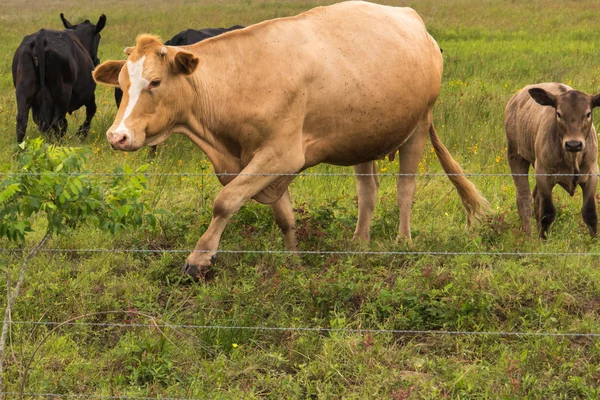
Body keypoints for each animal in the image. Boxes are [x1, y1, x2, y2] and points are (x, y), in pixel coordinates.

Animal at [11, 13, 106, 142]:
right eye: (99, 36)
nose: (97, 61)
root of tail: (40, 37)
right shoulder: (89, 94)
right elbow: (91, 110)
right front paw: (81, 134)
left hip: (24, 88)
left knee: (22, 121)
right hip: (62, 91)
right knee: (58, 122)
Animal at [506, 81, 600, 238]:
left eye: (588, 114)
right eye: (559, 114)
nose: (573, 144)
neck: (572, 157)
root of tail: (515, 98)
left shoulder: (592, 173)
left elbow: (590, 212)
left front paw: (593, 241)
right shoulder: (543, 175)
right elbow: (547, 212)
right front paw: (542, 239)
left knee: (535, 198)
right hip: (515, 156)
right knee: (524, 199)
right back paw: (529, 236)